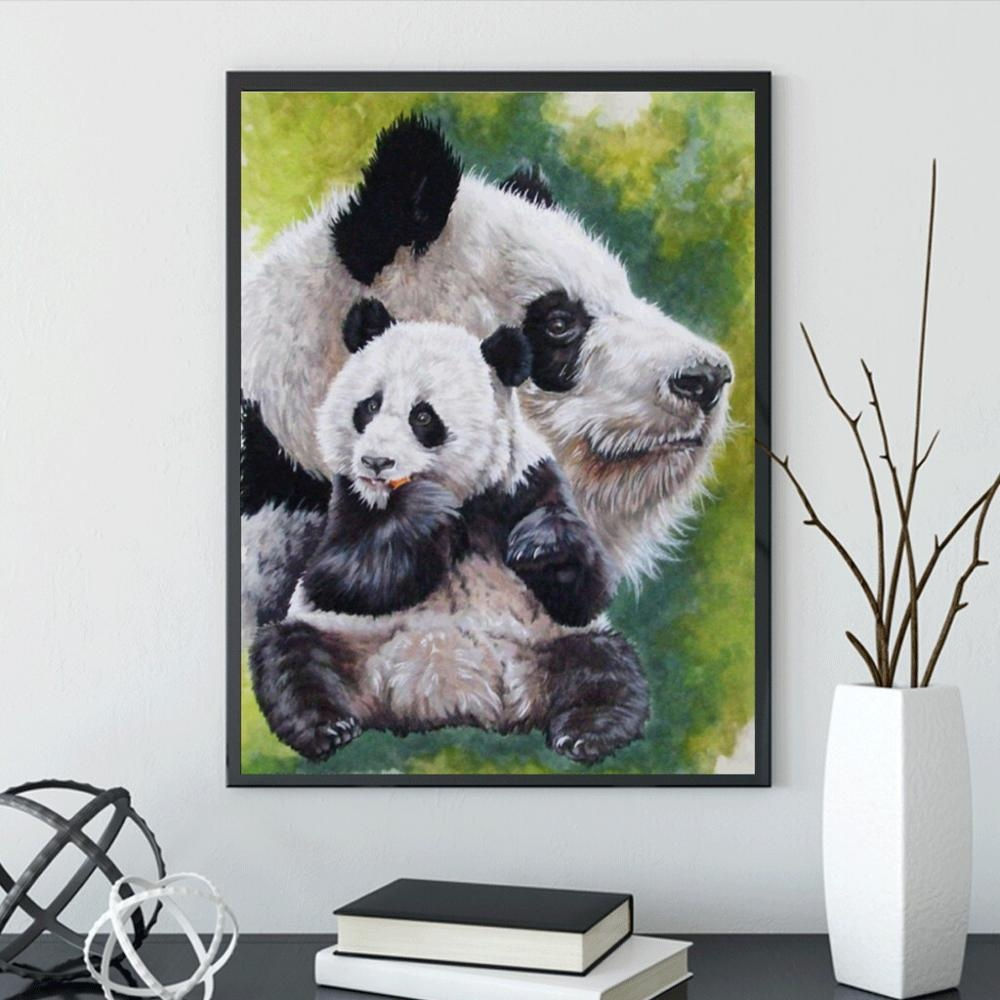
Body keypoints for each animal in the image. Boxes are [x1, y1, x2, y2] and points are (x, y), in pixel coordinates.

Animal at [249, 299, 649, 764]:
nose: (376, 462)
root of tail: (446, 700)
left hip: (546, 646)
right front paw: (422, 510)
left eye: (423, 416)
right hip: (343, 641)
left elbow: (586, 593)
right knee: (291, 657)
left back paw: (586, 733)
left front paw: (539, 545)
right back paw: (326, 727)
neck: (465, 500)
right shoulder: (349, 498)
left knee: (606, 666)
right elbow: (339, 576)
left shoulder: (528, 481)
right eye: (369, 406)